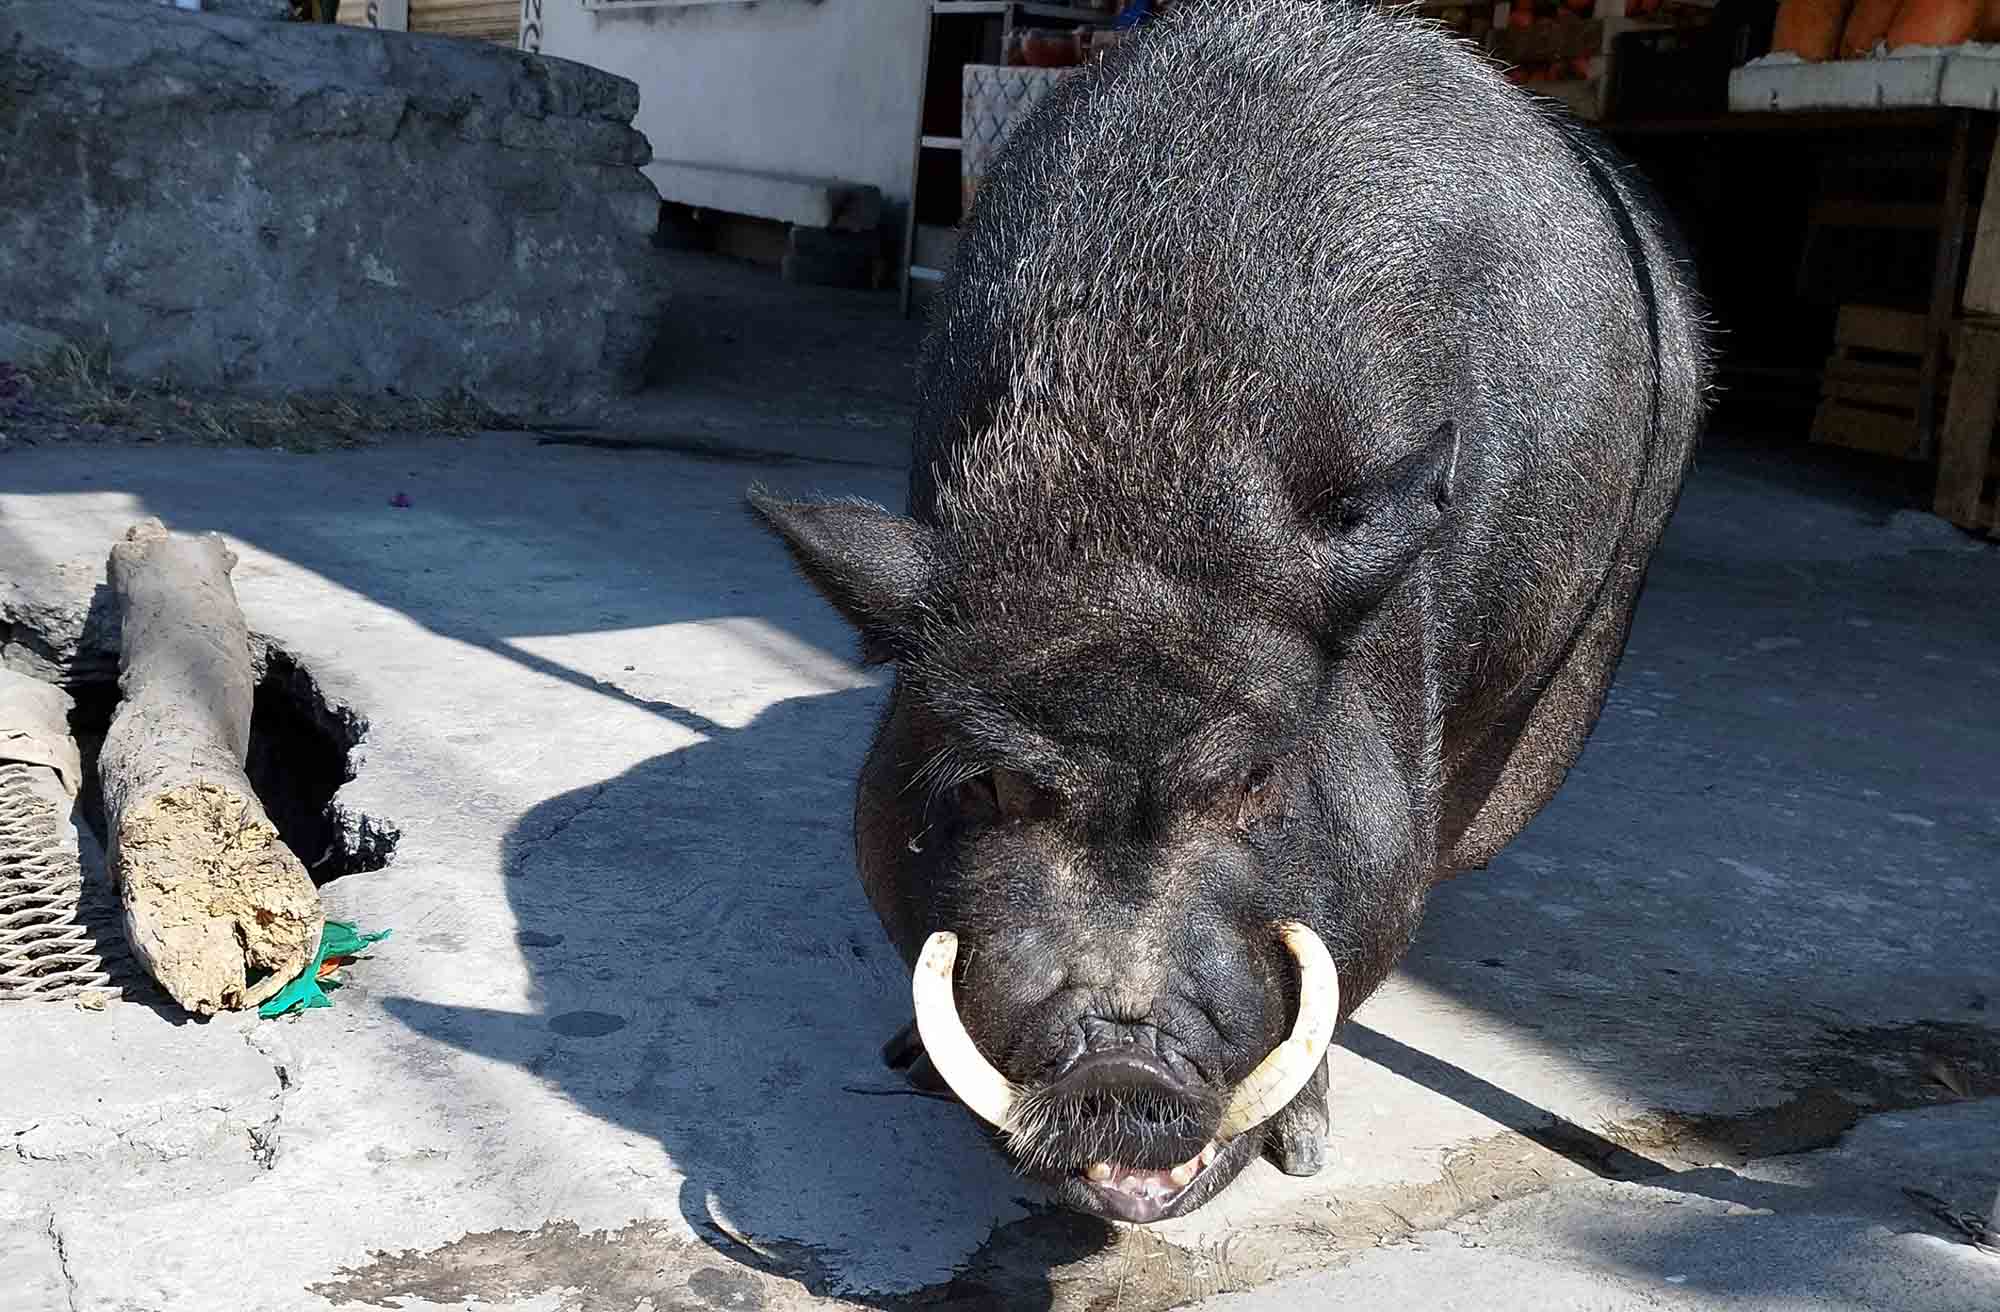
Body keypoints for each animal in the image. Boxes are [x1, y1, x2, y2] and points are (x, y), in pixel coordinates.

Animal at [752, 0, 1704, 1224]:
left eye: (1257, 778)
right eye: (991, 782)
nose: (1120, 1060)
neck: (1131, 498)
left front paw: (1307, 1155)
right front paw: (905, 1064)